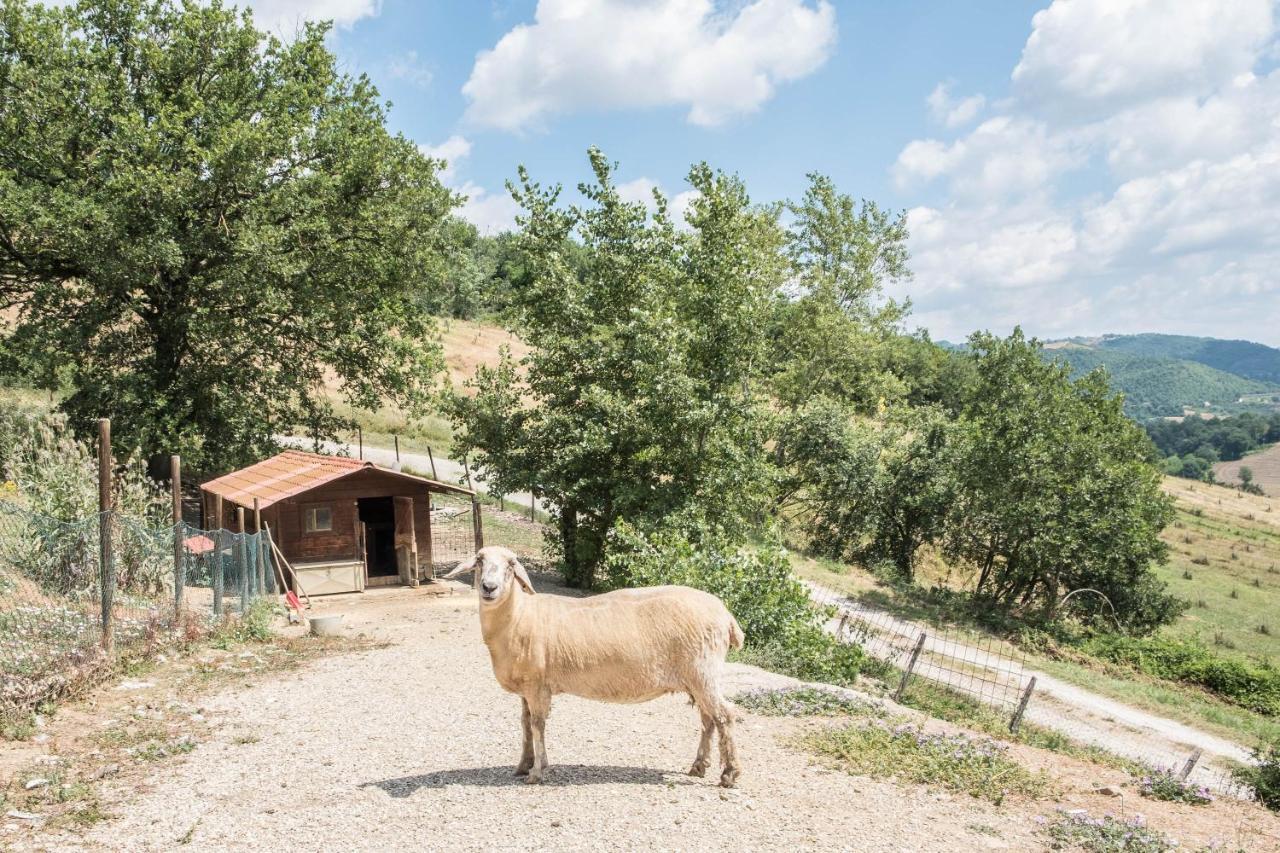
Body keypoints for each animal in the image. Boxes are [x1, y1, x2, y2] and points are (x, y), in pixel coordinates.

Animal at [445, 545, 747, 783]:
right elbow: (525, 724)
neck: (520, 617)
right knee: (708, 719)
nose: (489, 588)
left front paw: (537, 772)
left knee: (725, 716)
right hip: (697, 678)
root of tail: (727, 616)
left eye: (510, 564)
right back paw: (699, 766)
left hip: (703, 671)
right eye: (479, 560)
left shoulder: (538, 686)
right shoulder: (526, 688)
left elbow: (538, 725)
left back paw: (729, 774)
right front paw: (523, 765)